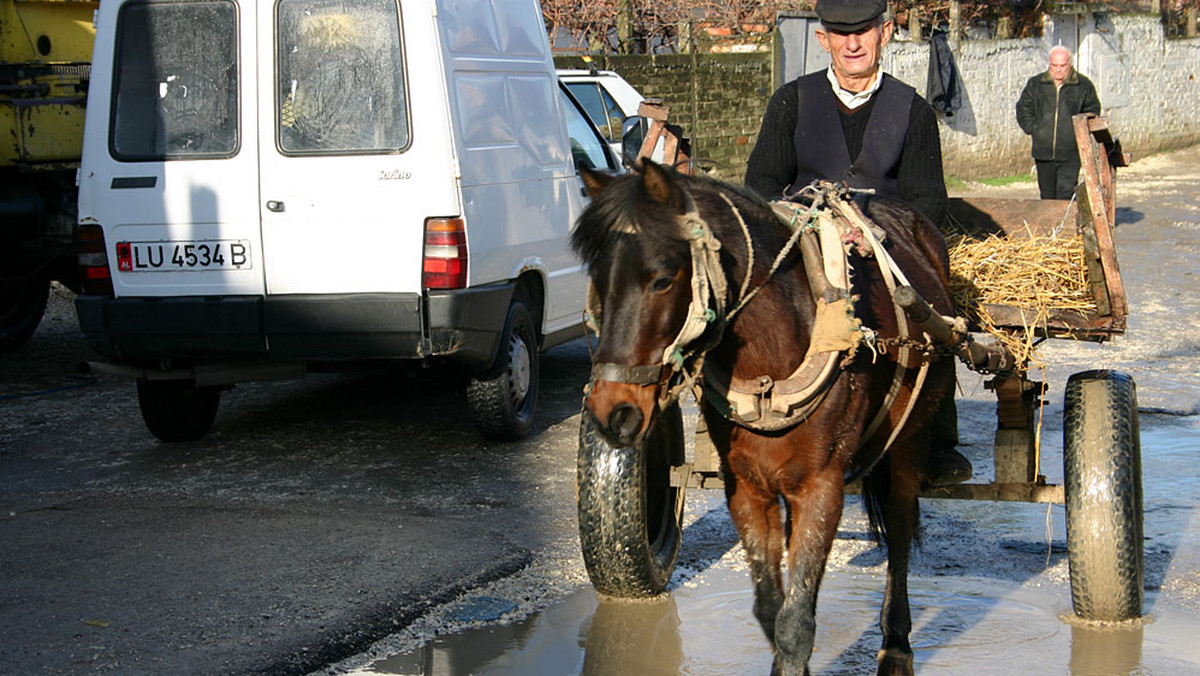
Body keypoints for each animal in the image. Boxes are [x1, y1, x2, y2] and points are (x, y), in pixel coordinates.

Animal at [571, 159, 955, 676]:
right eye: (598, 280)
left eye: (662, 279)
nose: (612, 410)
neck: (770, 365)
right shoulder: (748, 487)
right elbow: (772, 609)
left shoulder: (821, 487)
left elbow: (796, 622)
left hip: (909, 442)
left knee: (899, 533)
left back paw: (896, 644)